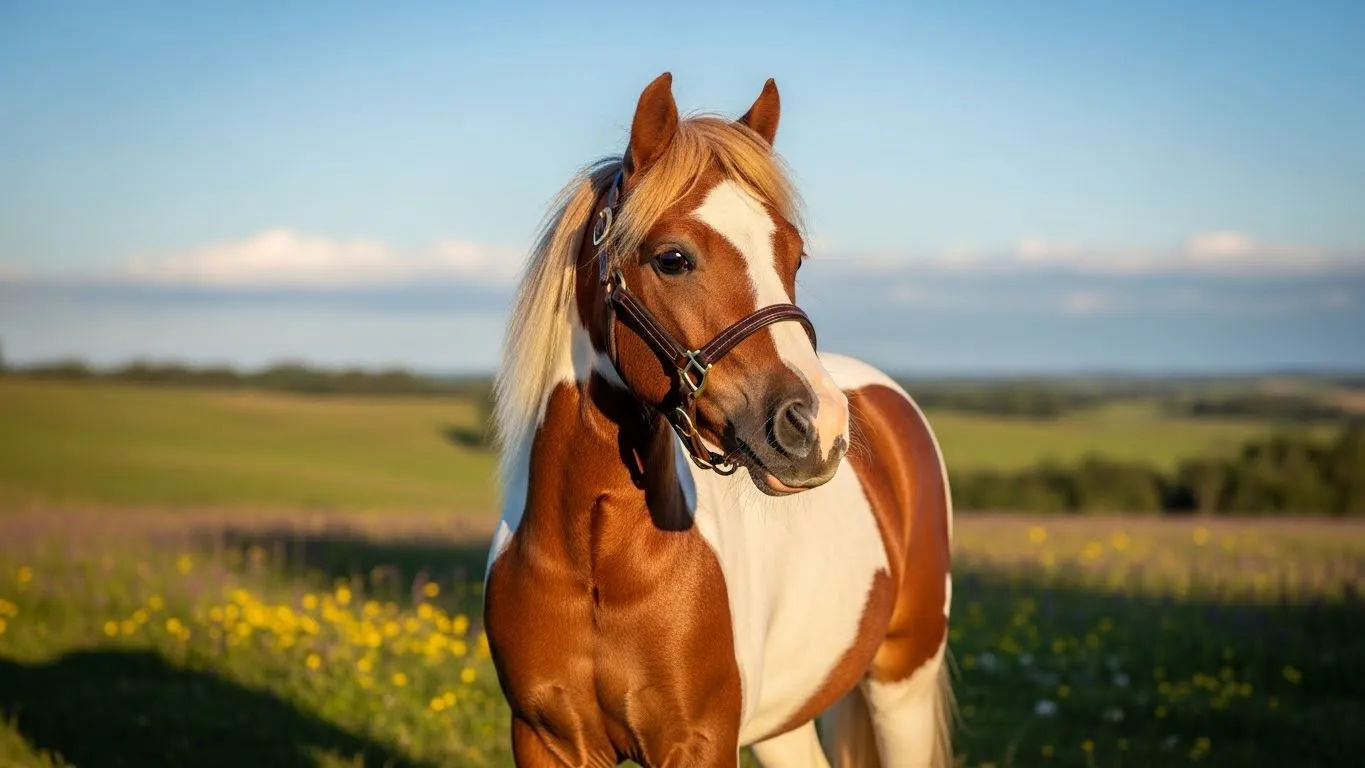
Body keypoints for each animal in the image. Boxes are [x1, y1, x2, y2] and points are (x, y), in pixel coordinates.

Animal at [484, 73, 954, 768]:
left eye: (794, 254)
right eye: (673, 258)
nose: (818, 427)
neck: (594, 559)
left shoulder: (699, 741)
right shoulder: (546, 740)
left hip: (903, 681)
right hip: (784, 722)